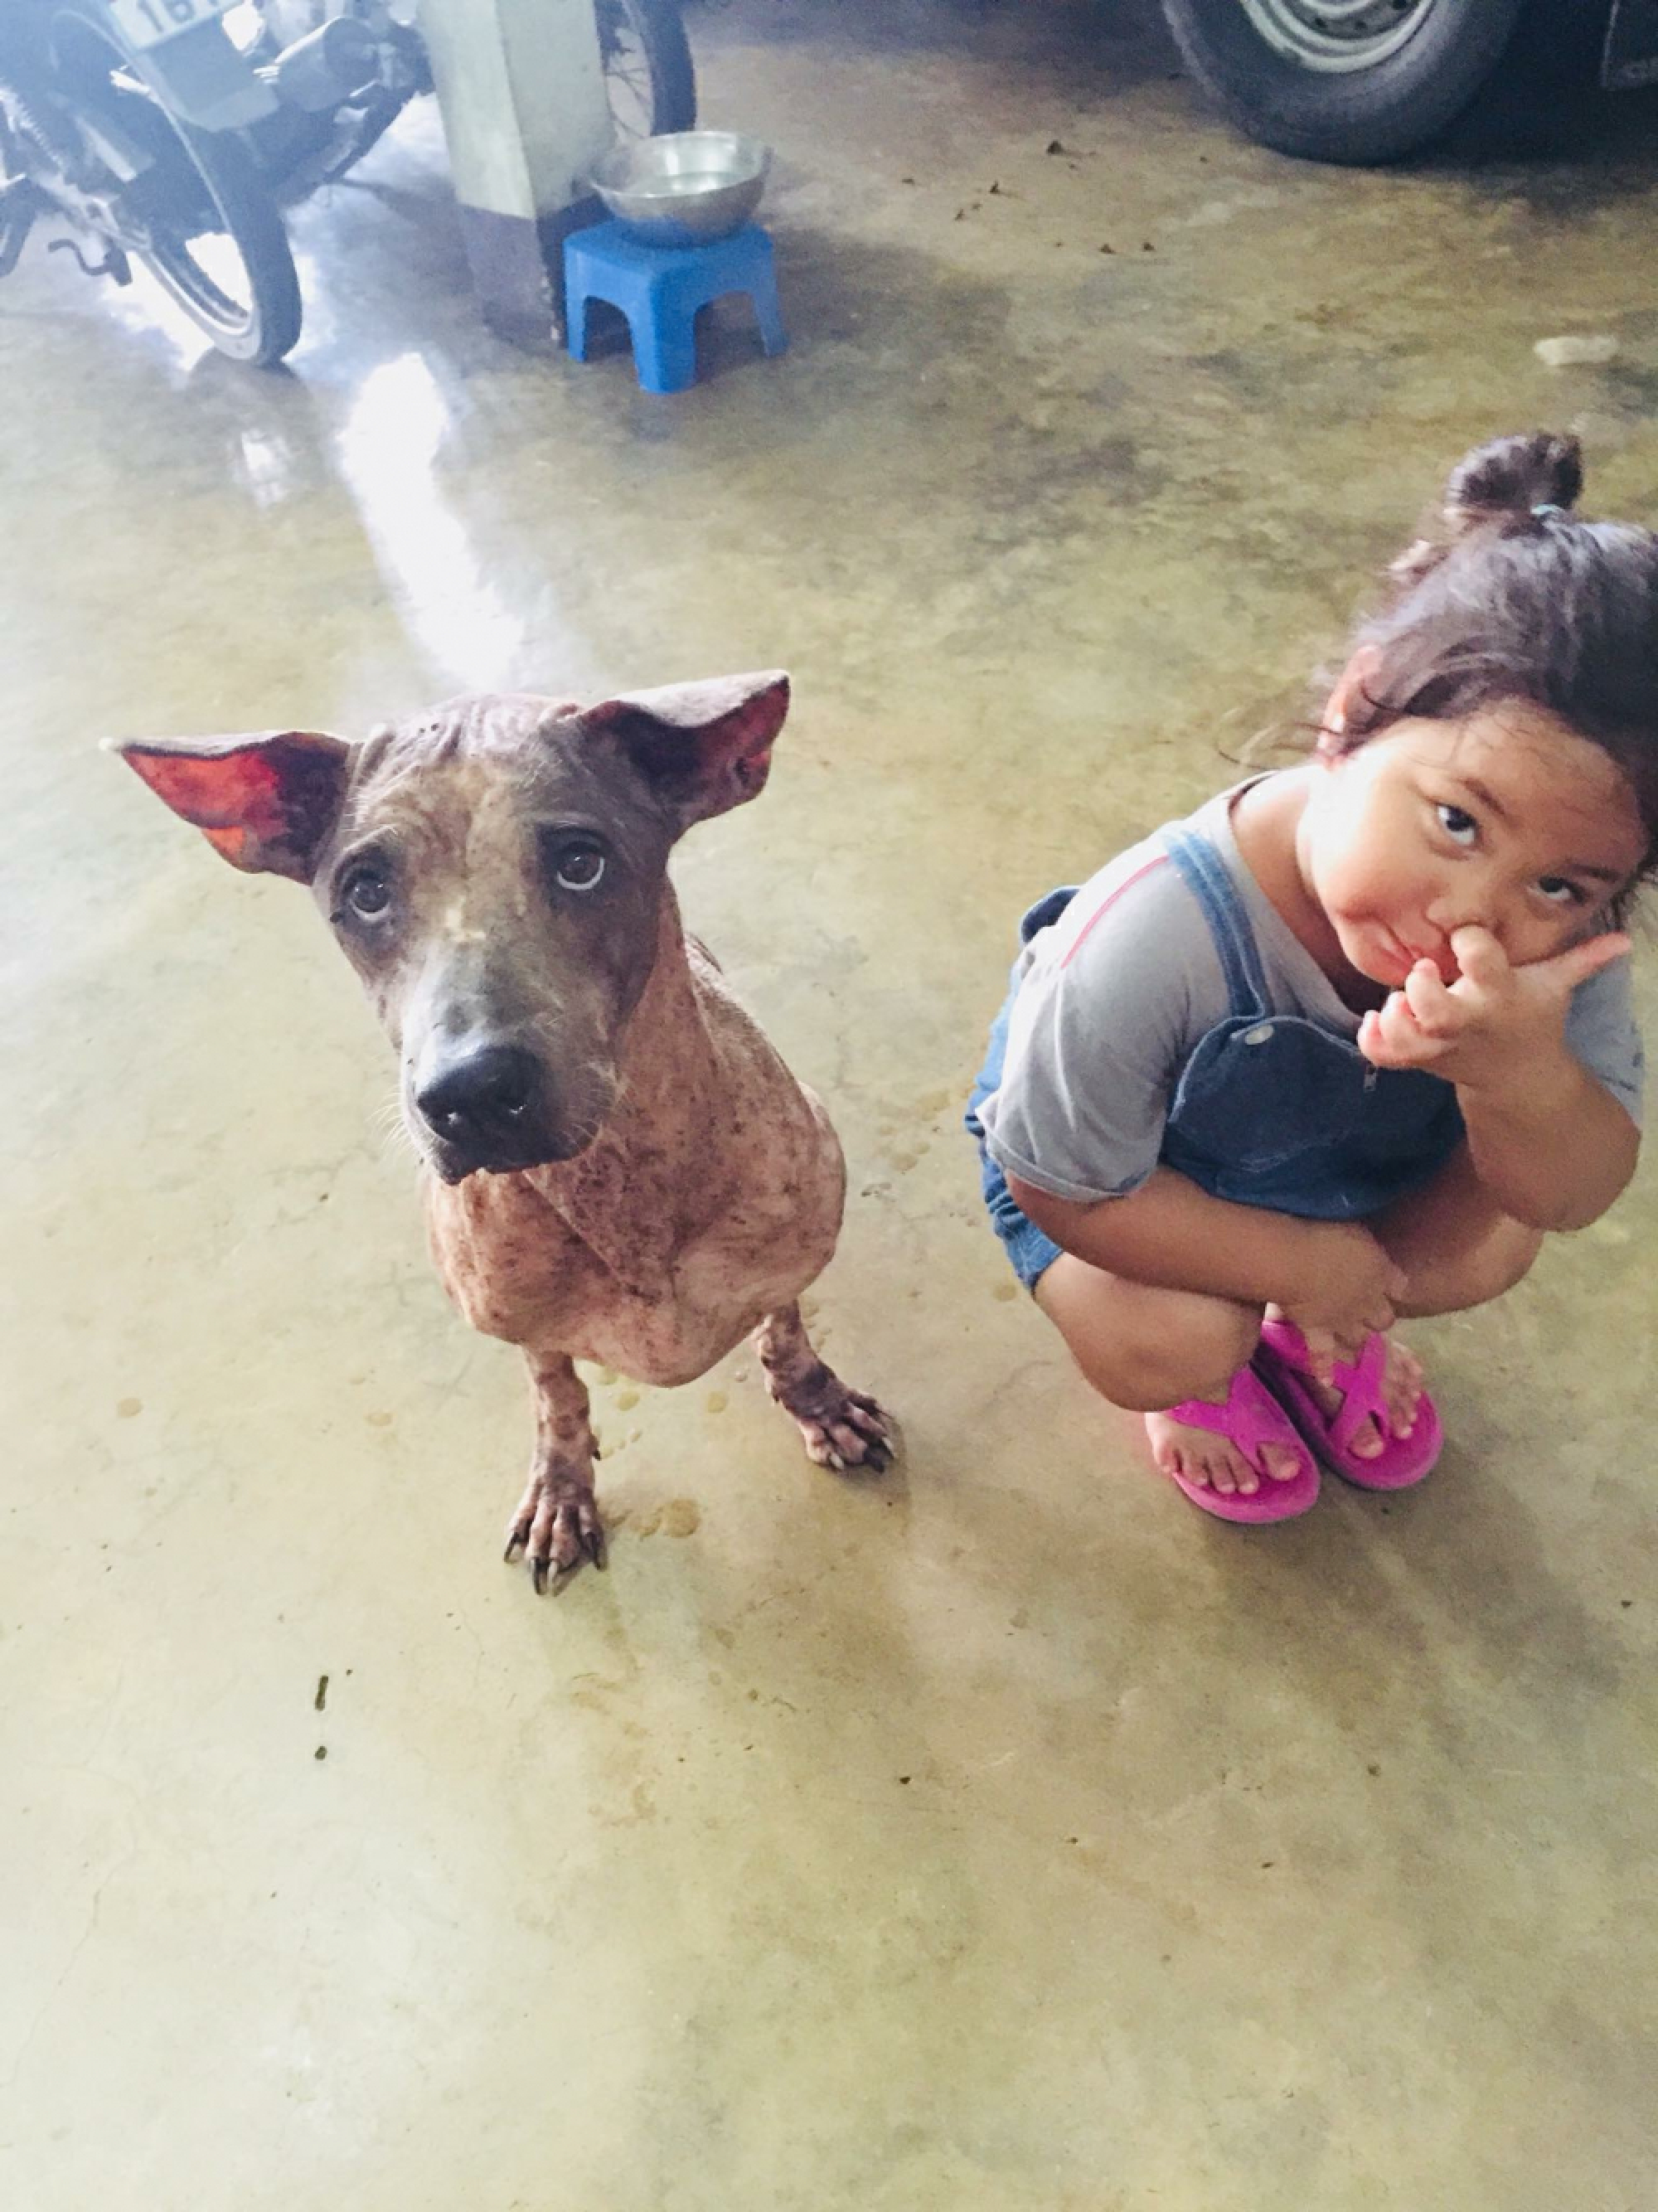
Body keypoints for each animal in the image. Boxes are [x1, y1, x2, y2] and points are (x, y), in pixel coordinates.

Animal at [114, 672, 897, 1592]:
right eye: (365, 892)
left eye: (581, 863)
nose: (472, 1094)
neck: (617, 1193)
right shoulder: (519, 1321)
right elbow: (555, 1391)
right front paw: (562, 1484)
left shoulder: (787, 1250)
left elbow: (784, 1328)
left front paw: (817, 1400)